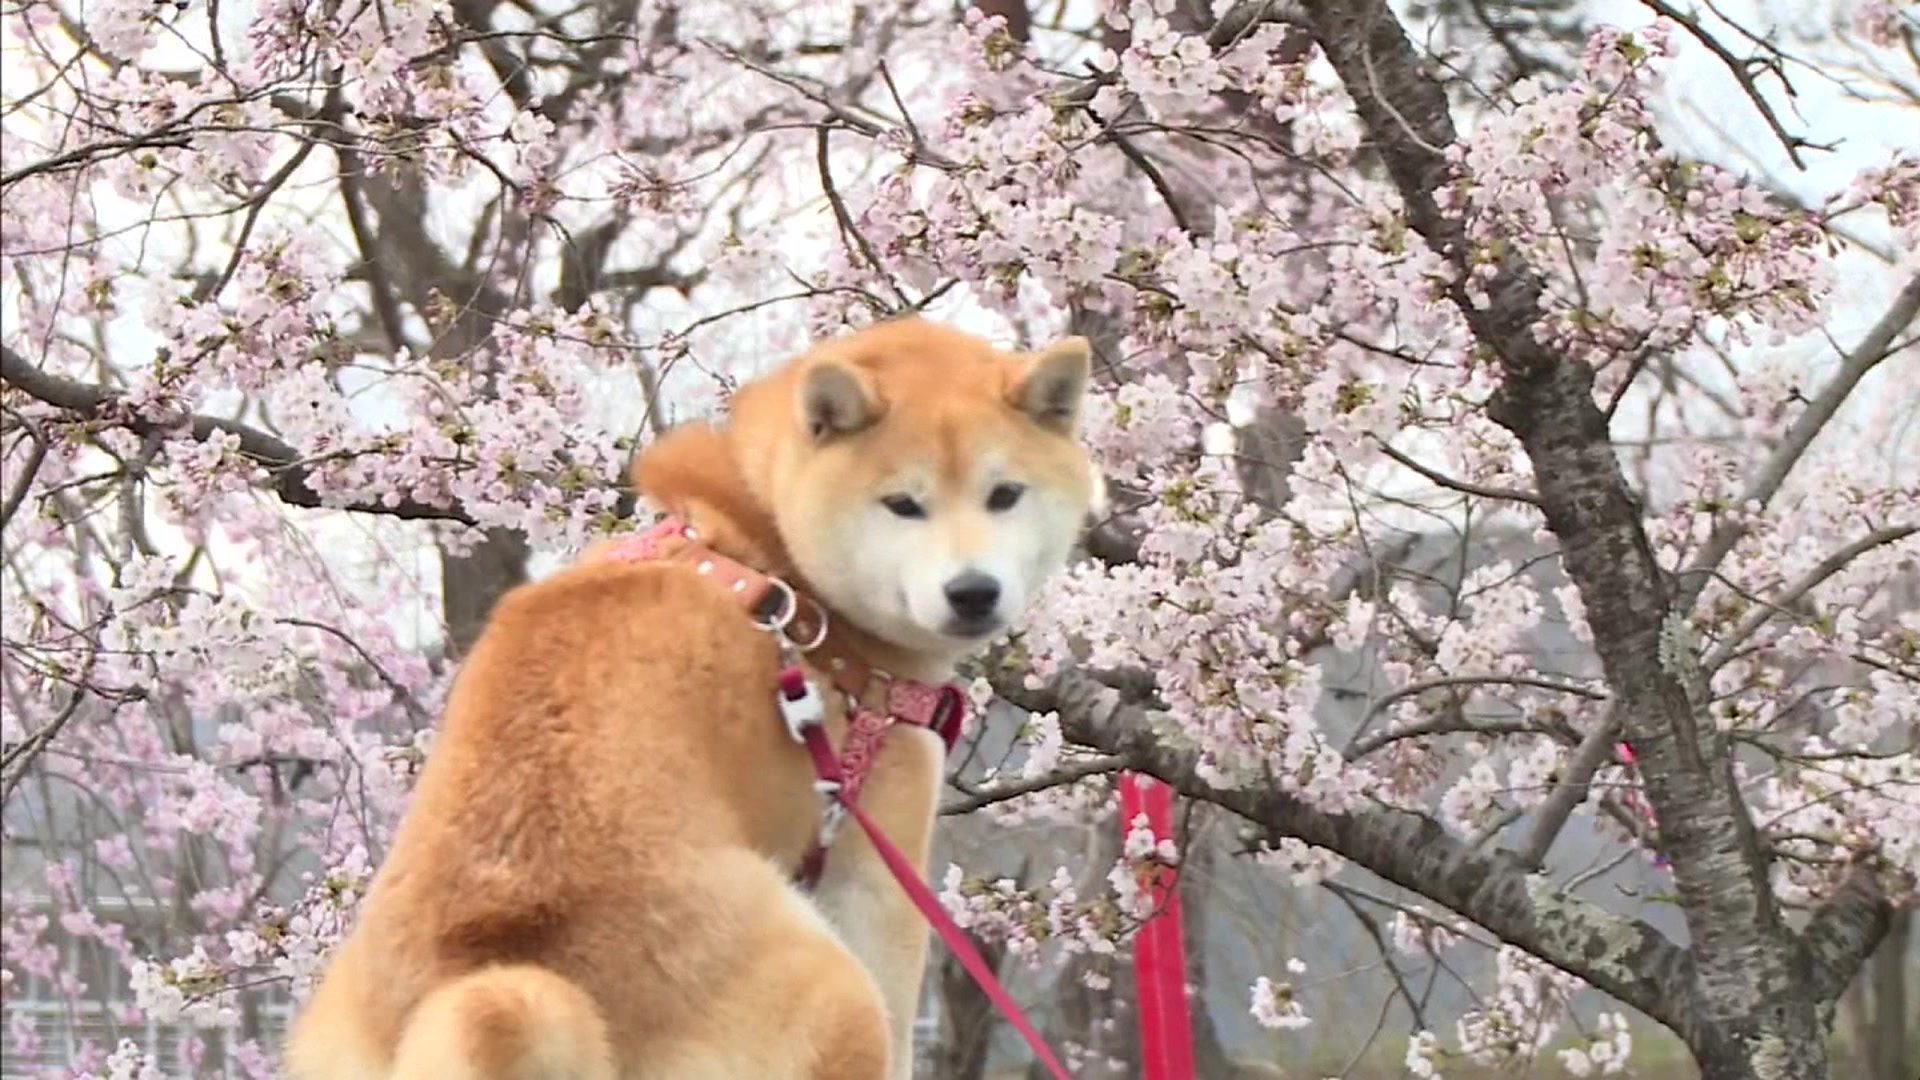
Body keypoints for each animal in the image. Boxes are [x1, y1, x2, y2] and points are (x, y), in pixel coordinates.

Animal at [278, 315, 1105, 1068]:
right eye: (902, 504)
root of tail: (486, 965)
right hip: (827, 987)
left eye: (1005, 495)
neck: (775, 556)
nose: (973, 591)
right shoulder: (880, 848)